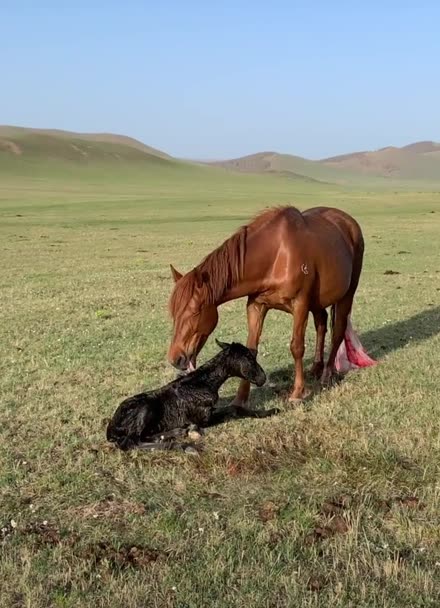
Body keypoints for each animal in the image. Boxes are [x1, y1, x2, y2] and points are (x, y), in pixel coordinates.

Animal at [106, 342, 278, 452]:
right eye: (249, 358)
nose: (263, 378)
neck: (204, 383)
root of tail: (111, 429)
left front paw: (270, 411)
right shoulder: (204, 418)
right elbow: (234, 408)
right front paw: (269, 411)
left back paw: (176, 433)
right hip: (145, 408)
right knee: (130, 443)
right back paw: (184, 445)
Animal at [167, 205, 372, 404]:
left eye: (195, 312)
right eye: (174, 314)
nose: (175, 358)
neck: (276, 256)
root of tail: (349, 222)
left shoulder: (300, 305)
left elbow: (297, 347)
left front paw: (297, 393)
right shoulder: (256, 306)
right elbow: (251, 349)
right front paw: (240, 399)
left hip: (346, 295)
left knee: (337, 332)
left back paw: (326, 375)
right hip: (318, 302)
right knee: (321, 324)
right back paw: (316, 368)